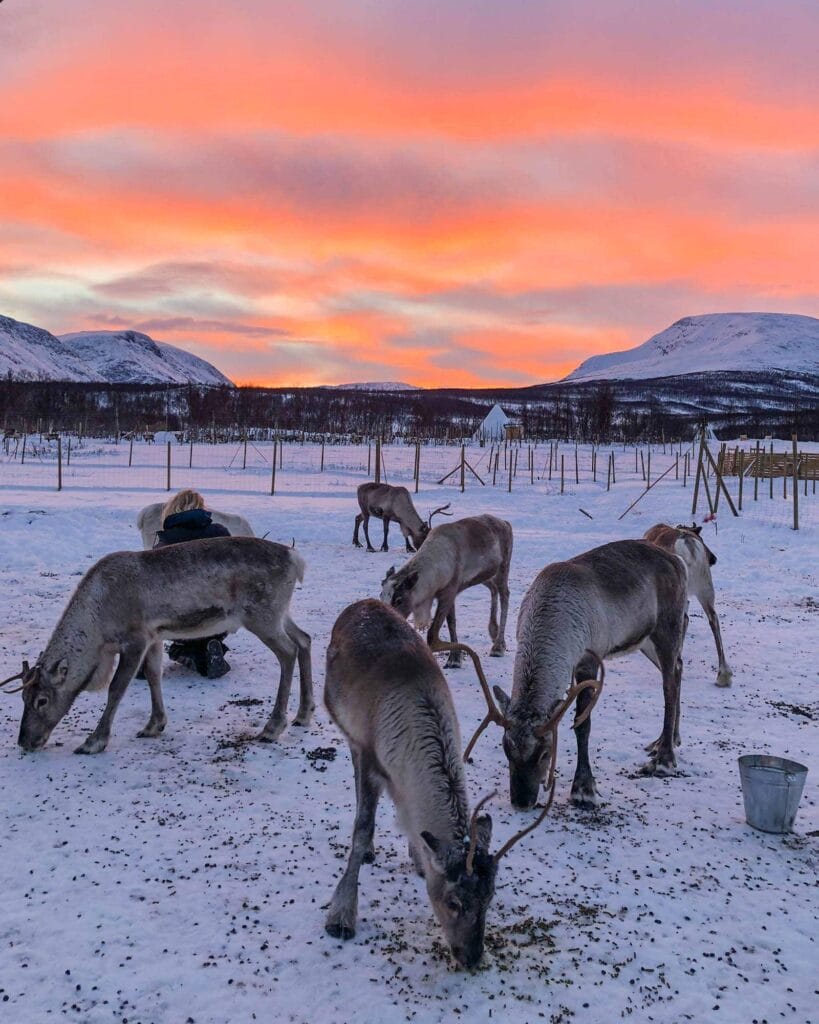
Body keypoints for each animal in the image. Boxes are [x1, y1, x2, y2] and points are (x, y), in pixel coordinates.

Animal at [3, 538, 312, 754]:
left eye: (41, 700)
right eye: (22, 697)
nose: (25, 741)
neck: (100, 632)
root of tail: (295, 558)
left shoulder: (135, 637)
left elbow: (116, 688)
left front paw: (94, 742)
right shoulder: (154, 636)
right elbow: (153, 676)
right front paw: (154, 725)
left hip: (261, 614)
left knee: (288, 651)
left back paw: (273, 727)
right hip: (279, 613)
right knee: (304, 639)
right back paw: (303, 714)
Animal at [324, 600, 583, 969]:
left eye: (490, 897)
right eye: (453, 902)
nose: (472, 957)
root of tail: (360, 604)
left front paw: (419, 860)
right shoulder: (369, 755)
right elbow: (362, 828)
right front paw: (342, 916)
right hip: (346, 730)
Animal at [380, 514, 512, 669]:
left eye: (399, 600)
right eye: (381, 596)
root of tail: (505, 523)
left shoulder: (449, 591)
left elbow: (433, 633)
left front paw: (454, 659)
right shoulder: (452, 592)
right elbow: (451, 623)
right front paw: (454, 658)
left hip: (503, 567)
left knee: (505, 595)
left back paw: (498, 646)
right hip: (485, 576)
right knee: (493, 589)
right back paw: (494, 632)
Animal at [463, 539, 688, 811]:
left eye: (545, 753)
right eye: (506, 749)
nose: (521, 802)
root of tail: (677, 561)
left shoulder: (589, 661)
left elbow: (582, 725)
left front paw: (583, 789)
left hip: (668, 627)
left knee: (669, 687)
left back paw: (665, 758)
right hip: (644, 641)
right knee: (678, 668)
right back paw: (670, 739)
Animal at [644, 523, 732, 687]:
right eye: (702, 539)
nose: (713, 559)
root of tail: (688, 544)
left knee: (684, 620)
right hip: (705, 587)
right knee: (713, 619)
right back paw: (723, 675)